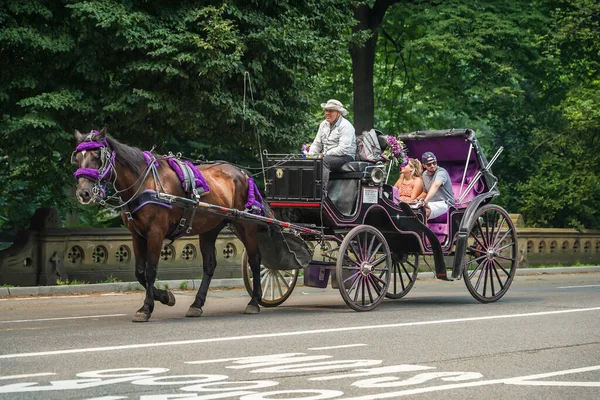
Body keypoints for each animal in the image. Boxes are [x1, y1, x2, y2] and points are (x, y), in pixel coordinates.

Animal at [71, 128, 266, 322]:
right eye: (77, 158)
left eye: (98, 155)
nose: (83, 193)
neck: (145, 182)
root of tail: (242, 173)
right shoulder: (137, 234)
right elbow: (139, 272)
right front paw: (165, 296)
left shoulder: (156, 232)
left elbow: (150, 270)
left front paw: (146, 308)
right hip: (210, 228)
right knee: (210, 265)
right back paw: (197, 304)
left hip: (245, 224)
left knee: (255, 259)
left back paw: (254, 301)